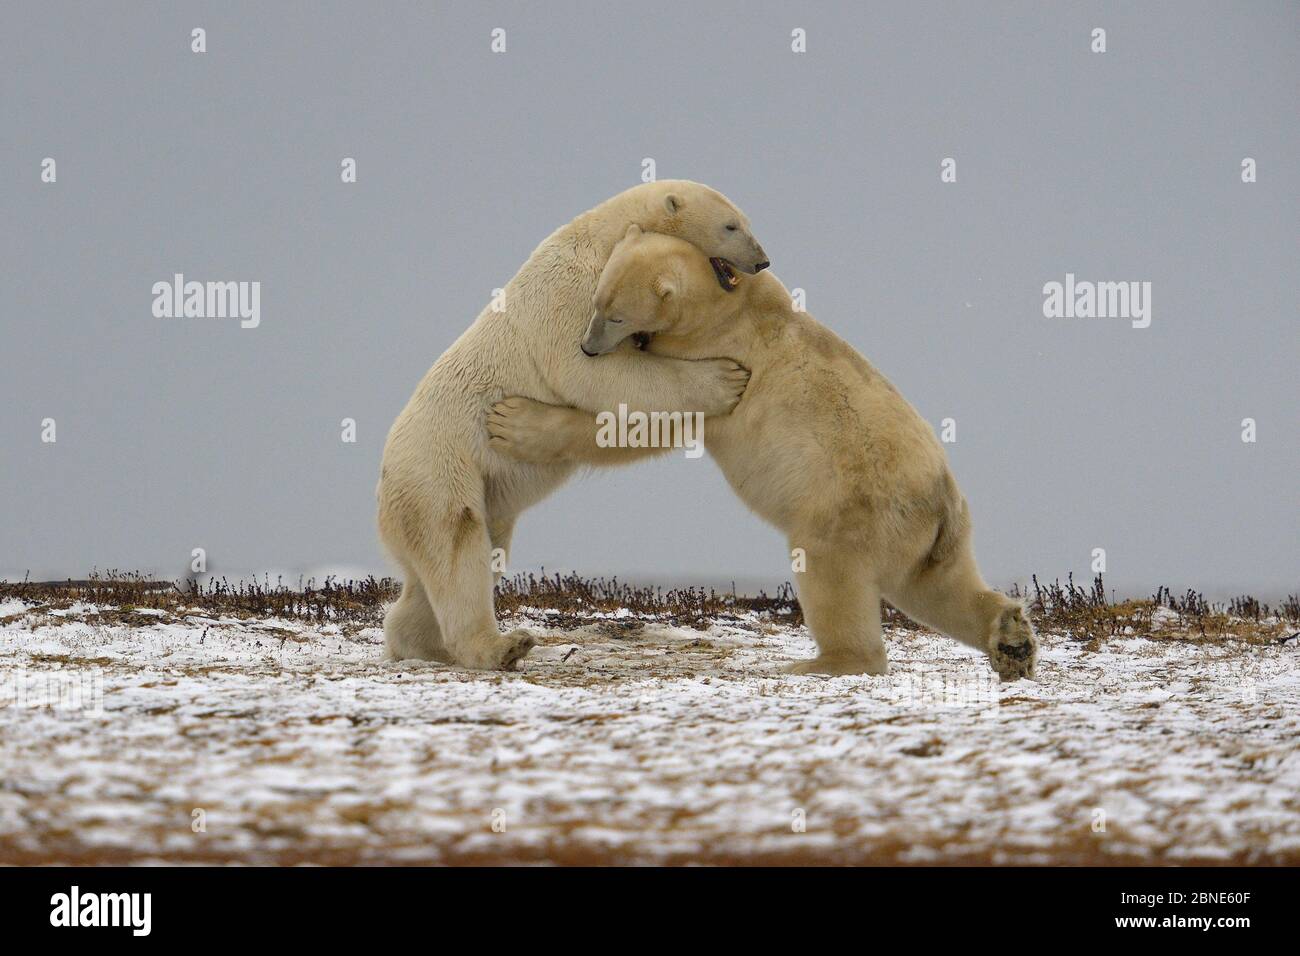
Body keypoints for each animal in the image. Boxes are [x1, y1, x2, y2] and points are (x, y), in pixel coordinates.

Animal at [377, 183, 769, 669]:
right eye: (731, 225)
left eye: (746, 221)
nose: (763, 260)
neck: (604, 235)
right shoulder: (573, 292)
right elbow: (592, 372)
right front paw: (722, 379)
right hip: (438, 467)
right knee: (457, 542)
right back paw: (501, 646)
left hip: (479, 487)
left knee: (473, 554)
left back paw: (419, 642)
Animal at [486, 226, 1037, 680]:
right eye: (596, 302)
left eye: (615, 313)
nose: (587, 347)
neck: (724, 301)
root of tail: (941, 504)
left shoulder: (710, 355)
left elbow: (644, 420)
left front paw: (512, 421)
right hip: (929, 539)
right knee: (937, 588)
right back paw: (1012, 641)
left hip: (850, 511)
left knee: (830, 573)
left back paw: (821, 661)